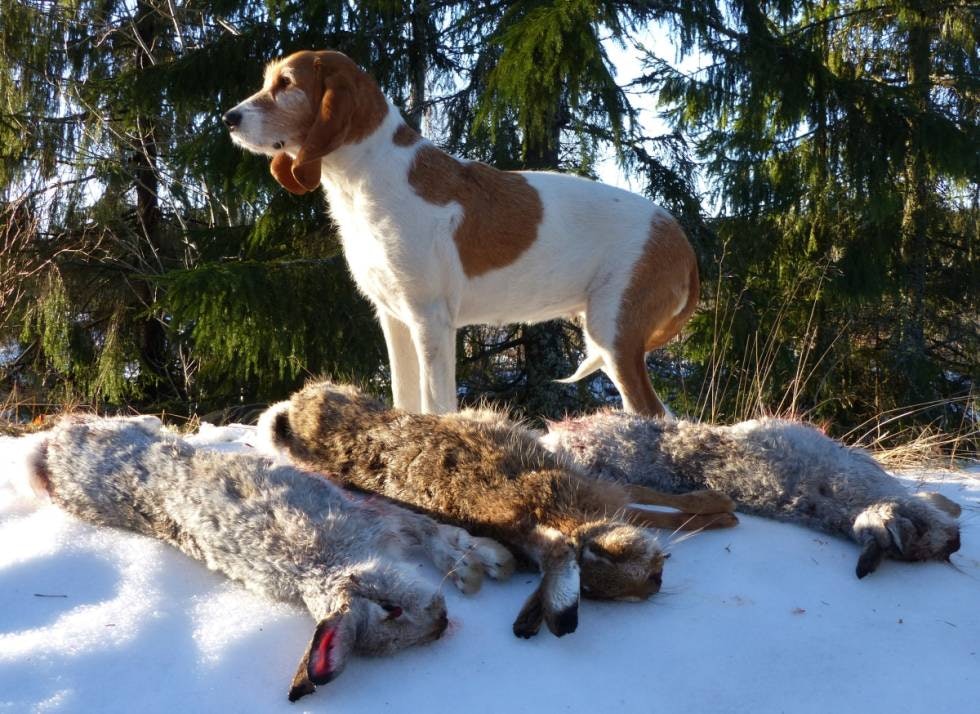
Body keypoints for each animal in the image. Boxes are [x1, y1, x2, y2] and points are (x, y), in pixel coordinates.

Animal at [224, 50, 696, 414]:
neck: (369, 176)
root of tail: (679, 237)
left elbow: (436, 404)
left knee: (655, 413)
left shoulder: (430, 319)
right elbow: (405, 399)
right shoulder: (394, 319)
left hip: (613, 333)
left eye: (286, 83)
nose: (228, 117)